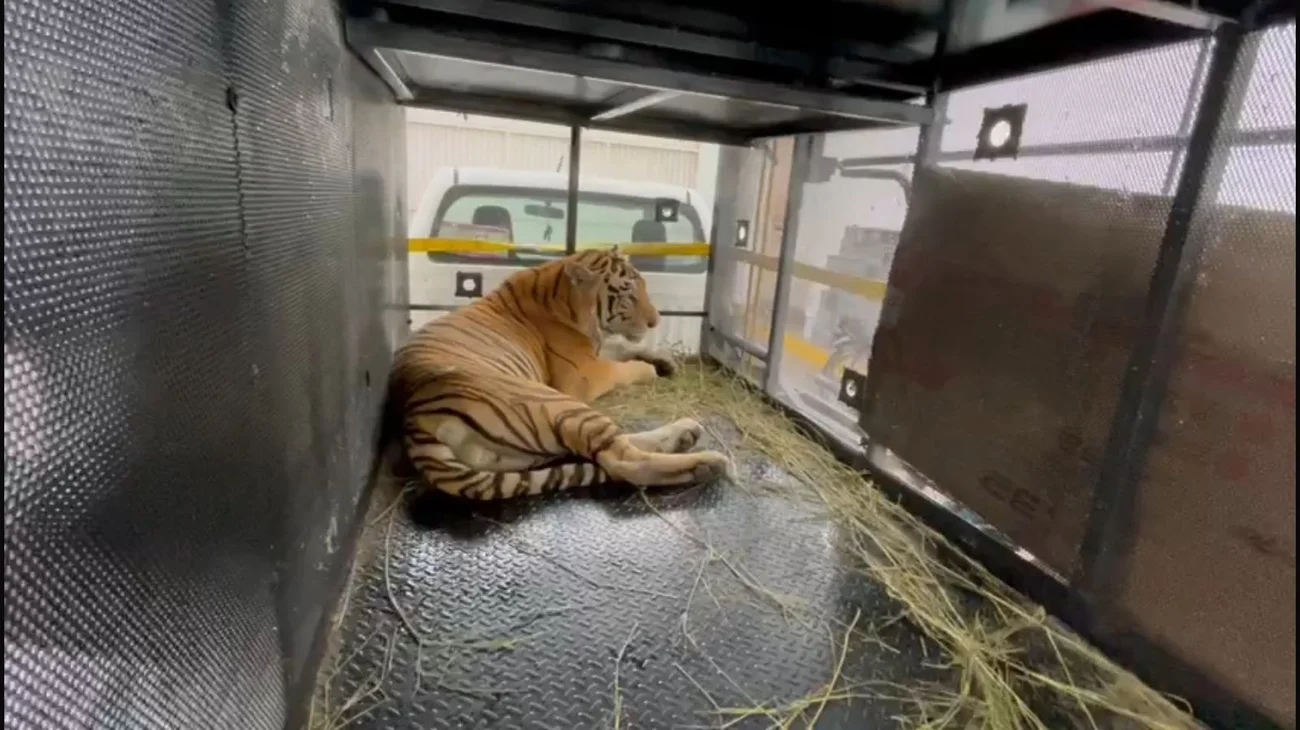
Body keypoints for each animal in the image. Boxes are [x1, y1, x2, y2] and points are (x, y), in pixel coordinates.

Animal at [389, 247, 732, 500]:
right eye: (628, 296)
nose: (655, 321)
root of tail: (415, 421)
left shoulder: (592, 353)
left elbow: (620, 349)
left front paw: (663, 359)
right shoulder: (582, 376)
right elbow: (622, 366)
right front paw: (650, 368)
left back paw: (686, 433)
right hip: (553, 402)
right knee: (623, 460)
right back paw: (707, 463)